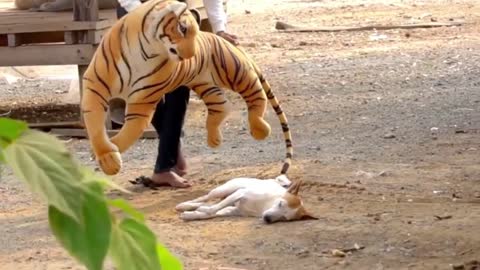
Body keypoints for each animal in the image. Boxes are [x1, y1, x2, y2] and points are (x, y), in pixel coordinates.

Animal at [174, 175, 316, 224]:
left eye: (284, 218)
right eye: (280, 204)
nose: (267, 219)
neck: (264, 206)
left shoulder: (234, 210)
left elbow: (211, 213)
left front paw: (192, 215)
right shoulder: (240, 193)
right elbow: (212, 210)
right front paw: (192, 211)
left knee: (212, 203)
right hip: (224, 190)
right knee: (206, 197)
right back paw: (185, 205)